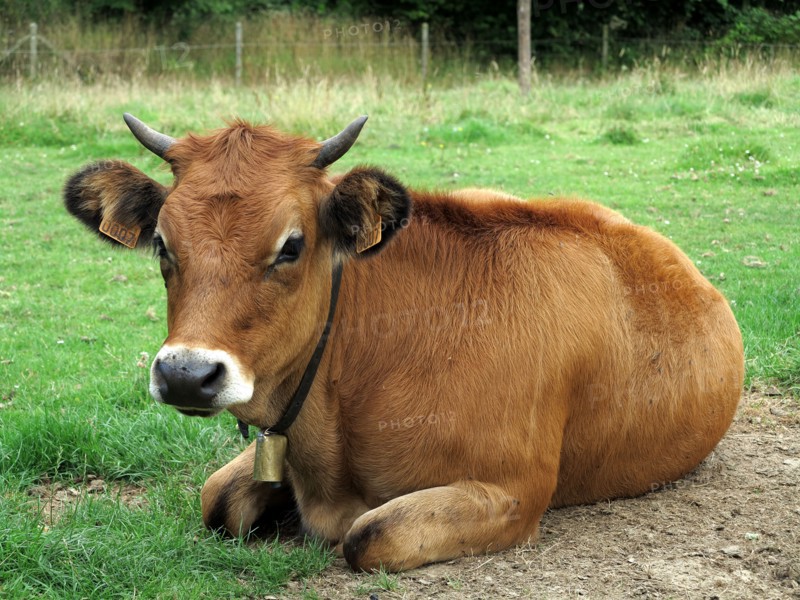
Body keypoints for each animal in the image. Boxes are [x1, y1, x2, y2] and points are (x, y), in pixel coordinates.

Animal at [64, 114, 744, 572]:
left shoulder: (514, 493)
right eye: (161, 244)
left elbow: (369, 536)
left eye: (291, 245)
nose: (186, 373)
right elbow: (216, 498)